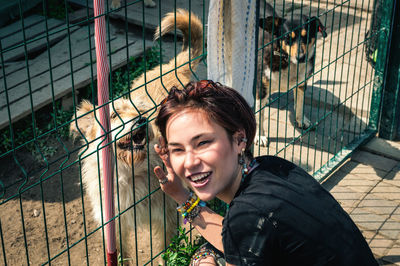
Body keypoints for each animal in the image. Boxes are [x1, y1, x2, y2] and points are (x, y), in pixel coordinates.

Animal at [69, 8, 203, 264]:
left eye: (140, 111)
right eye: (113, 114)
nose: (141, 120)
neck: (128, 174)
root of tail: (171, 67)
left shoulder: (166, 216)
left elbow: (166, 250)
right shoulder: (115, 226)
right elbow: (121, 254)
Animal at [256, 3, 324, 147]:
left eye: (307, 36)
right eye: (287, 37)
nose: (301, 57)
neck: (287, 61)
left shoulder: (301, 84)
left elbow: (299, 104)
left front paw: (301, 120)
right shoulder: (261, 85)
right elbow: (259, 116)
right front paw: (260, 136)